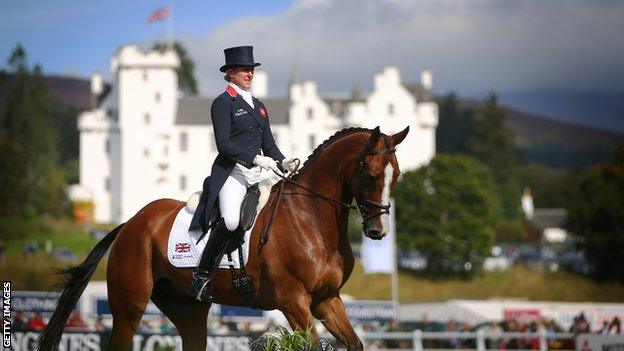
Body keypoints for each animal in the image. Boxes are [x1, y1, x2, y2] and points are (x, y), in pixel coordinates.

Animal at [39, 126, 410, 350]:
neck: (312, 217)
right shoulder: (293, 301)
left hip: (187, 308)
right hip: (129, 308)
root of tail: (130, 223)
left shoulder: (327, 300)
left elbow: (355, 343)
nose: (378, 231)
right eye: (371, 175)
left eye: (396, 176)